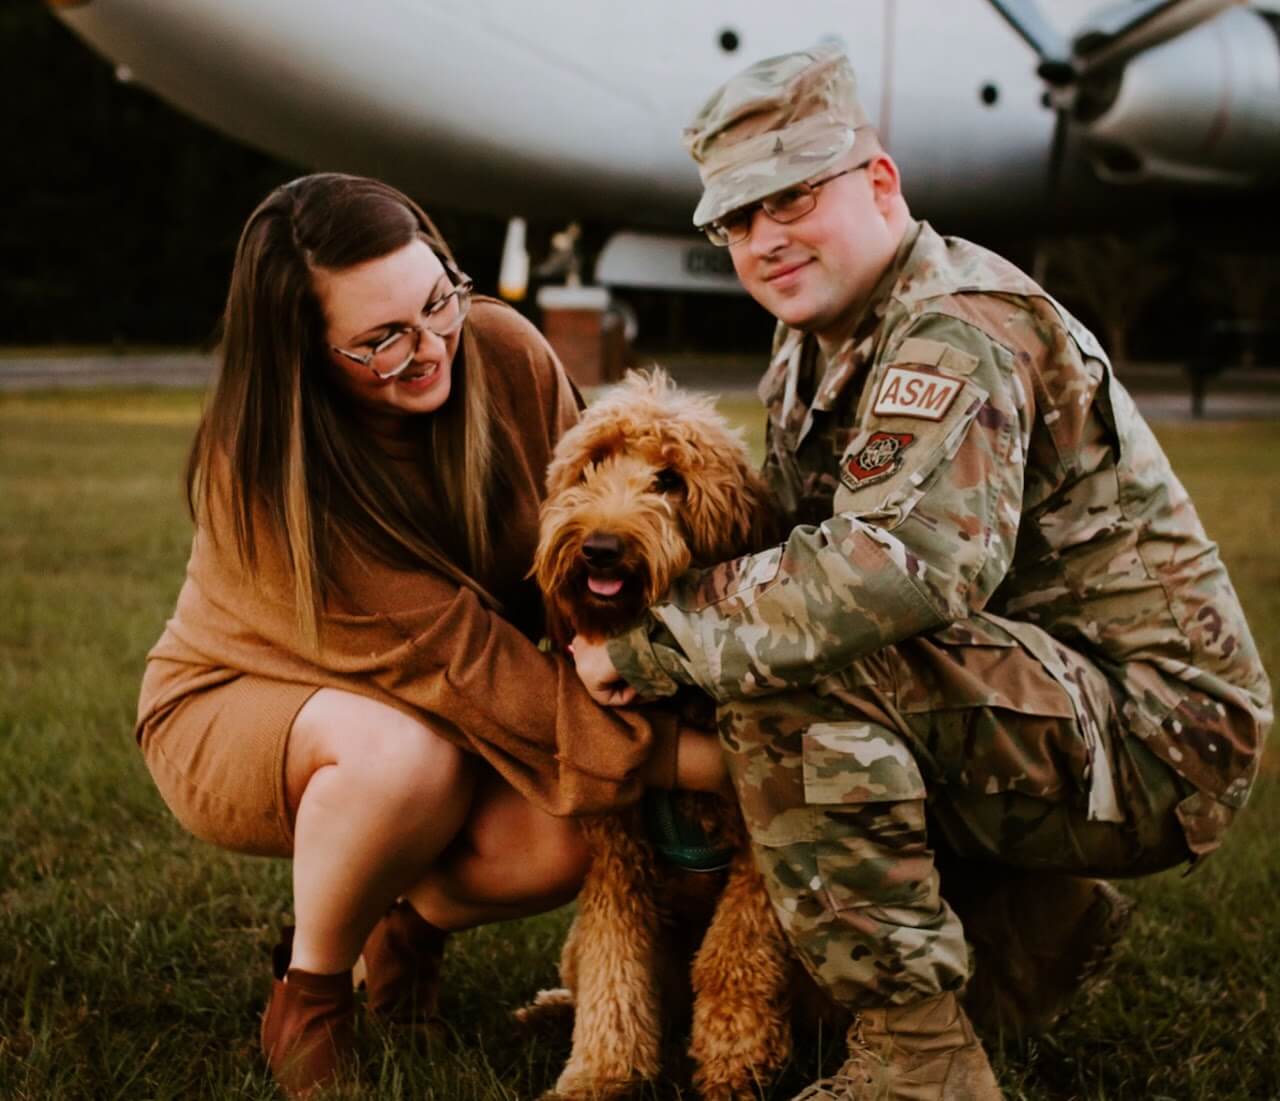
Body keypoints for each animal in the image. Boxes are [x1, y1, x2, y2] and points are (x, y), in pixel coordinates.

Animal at [524, 368, 834, 1101]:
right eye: (591, 465)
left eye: (669, 480)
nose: (600, 546)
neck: (671, 702)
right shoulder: (616, 854)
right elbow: (614, 961)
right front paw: (601, 1073)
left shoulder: (758, 858)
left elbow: (731, 957)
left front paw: (734, 1065)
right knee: (581, 967)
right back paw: (549, 1009)